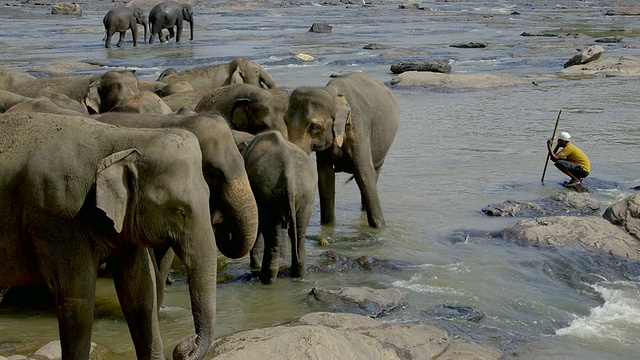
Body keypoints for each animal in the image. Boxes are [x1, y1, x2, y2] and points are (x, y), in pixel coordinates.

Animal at [0, 112, 218, 360]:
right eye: (178, 210)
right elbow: (77, 296)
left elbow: (142, 291)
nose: (183, 347)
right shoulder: (57, 218)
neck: (122, 139)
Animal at [234, 130, 316, 284]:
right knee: (299, 234)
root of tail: (290, 176)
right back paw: (298, 275)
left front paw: (254, 266)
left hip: (269, 196)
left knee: (273, 238)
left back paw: (265, 279)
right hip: (305, 194)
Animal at [286, 73, 400, 229]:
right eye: (285, 121)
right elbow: (325, 177)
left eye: (314, 126)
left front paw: (380, 228)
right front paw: (327, 226)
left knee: (373, 174)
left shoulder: (359, 129)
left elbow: (363, 172)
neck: (333, 94)